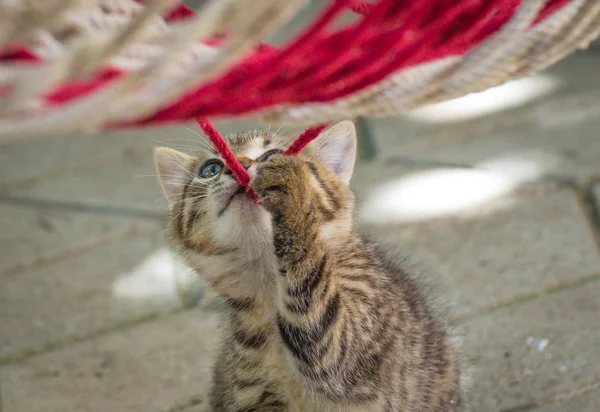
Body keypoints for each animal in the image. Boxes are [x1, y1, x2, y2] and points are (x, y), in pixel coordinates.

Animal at [154, 122, 460, 412]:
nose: (237, 165)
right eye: (211, 169)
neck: (270, 287)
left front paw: (294, 193)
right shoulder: (253, 393)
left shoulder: (360, 333)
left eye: (272, 155)